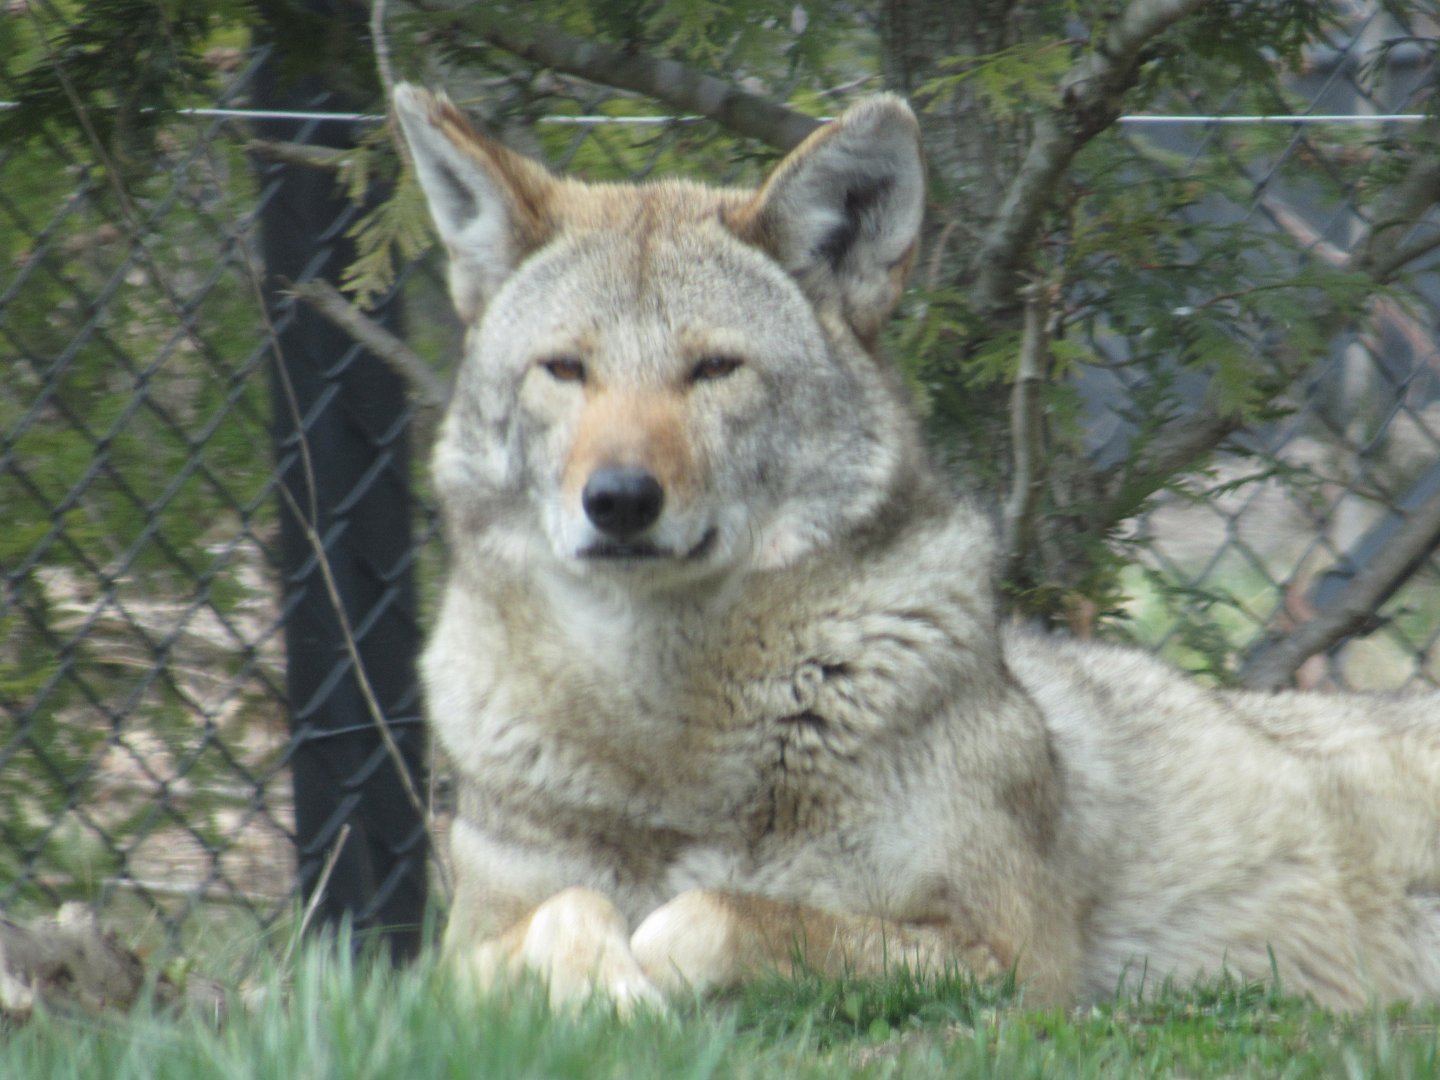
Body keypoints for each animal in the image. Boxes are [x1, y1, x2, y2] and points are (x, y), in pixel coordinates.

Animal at [392, 84, 1440, 1011]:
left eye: (715, 369)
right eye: (566, 370)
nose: (617, 500)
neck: (670, 735)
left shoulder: (1014, 962)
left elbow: (711, 914)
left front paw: (650, 976)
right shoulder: (452, 961)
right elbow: (568, 913)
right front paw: (603, 990)